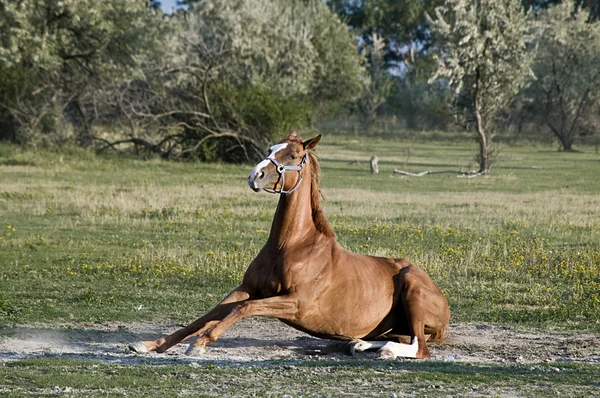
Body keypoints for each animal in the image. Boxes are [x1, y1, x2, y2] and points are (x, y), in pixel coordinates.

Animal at [131, 131, 450, 360]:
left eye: (294, 154)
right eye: (271, 148)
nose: (255, 176)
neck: (289, 247)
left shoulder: (296, 303)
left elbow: (241, 309)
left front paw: (200, 344)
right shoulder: (247, 288)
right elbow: (208, 314)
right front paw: (151, 344)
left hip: (412, 290)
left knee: (420, 348)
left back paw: (386, 352)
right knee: (399, 338)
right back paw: (359, 344)